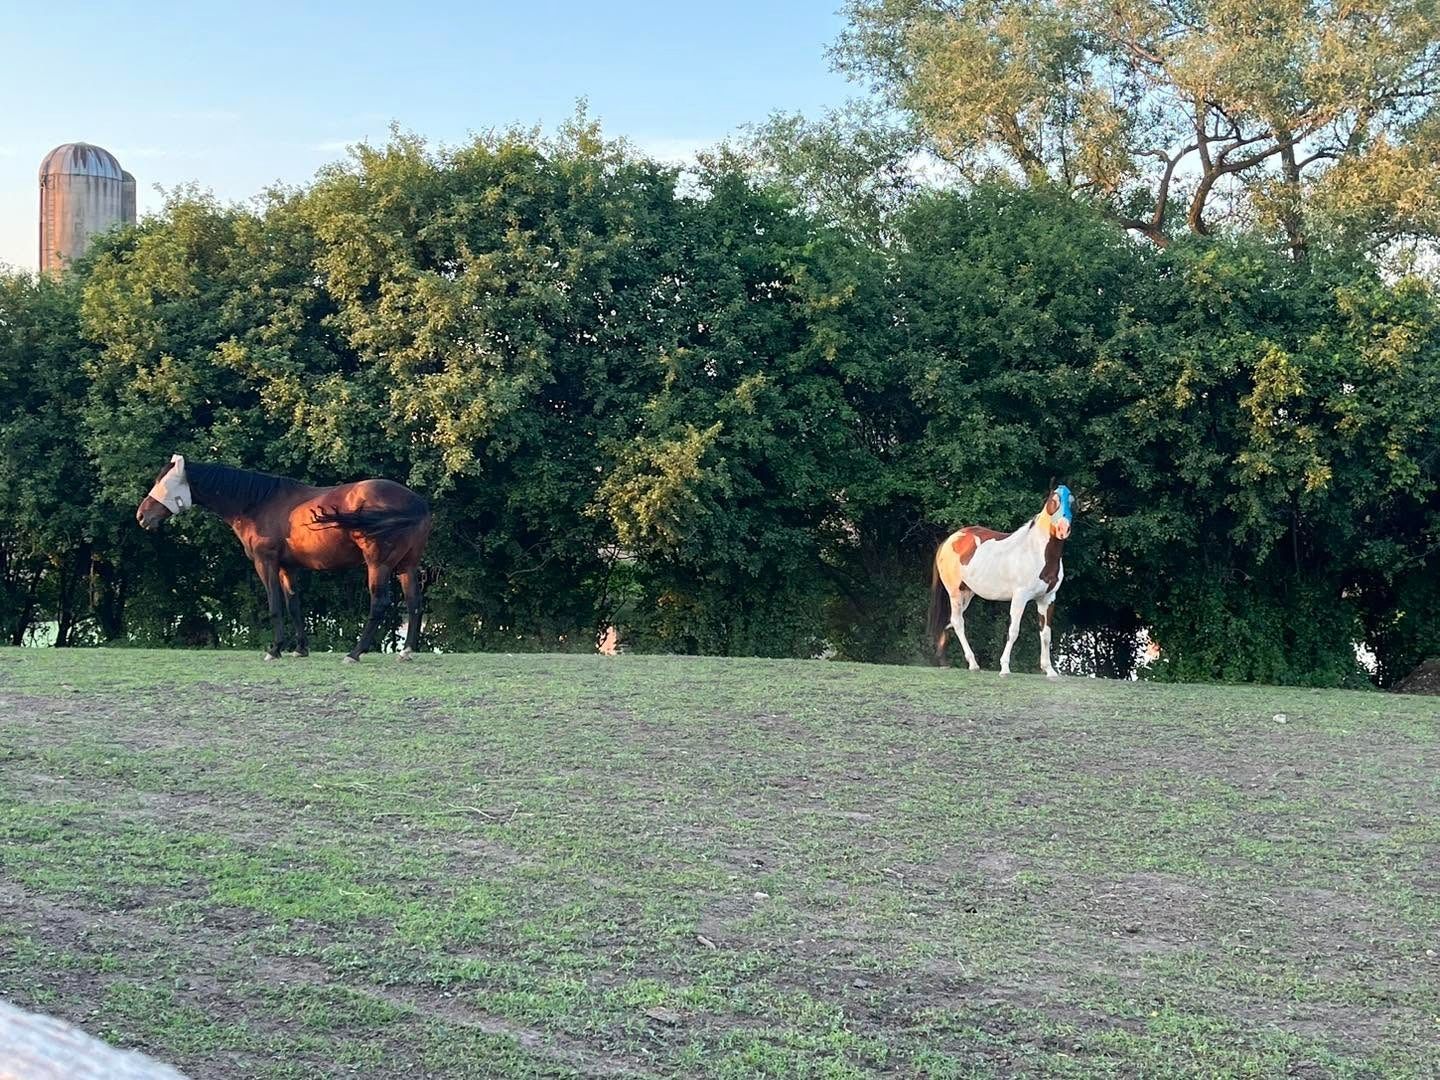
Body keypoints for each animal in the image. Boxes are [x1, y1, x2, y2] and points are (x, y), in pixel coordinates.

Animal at [136, 454, 433, 663]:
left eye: (163, 484)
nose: (141, 515)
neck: (257, 504)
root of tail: (416, 503)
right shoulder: (287, 568)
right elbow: (293, 605)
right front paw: (300, 649)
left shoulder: (265, 563)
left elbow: (275, 604)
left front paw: (275, 648)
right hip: (406, 566)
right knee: (414, 603)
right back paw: (406, 651)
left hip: (378, 565)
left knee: (379, 603)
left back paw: (355, 653)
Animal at [927, 486, 1074, 678]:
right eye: (1053, 501)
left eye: (1072, 501)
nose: (1064, 529)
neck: (1036, 552)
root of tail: (948, 540)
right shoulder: (1020, 597)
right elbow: (1013, 631)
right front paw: (1004, 668)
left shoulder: (1047, 599)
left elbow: (1046, 634)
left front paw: (1049, 670)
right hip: (955, 593)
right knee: (958, 622)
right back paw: (973, 664)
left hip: (966, 594)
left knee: (948, 621)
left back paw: (944, 662)